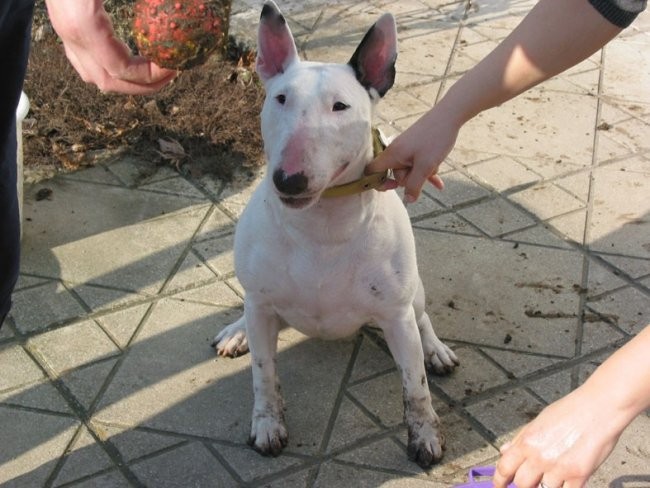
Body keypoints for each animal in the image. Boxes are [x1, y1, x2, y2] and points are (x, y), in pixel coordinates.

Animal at [211, 0, 456, 468]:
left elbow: (415, 386)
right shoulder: (262, 303)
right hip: (260, 302)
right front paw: (267, 424)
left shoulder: (395, 315)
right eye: (280, 98)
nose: (288, 180)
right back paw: (237, 331)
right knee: (251, 312)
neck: (320, 228)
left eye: (340, 107)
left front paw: (426, 435)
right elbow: (264, 375)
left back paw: (435, 349)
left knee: (422, 317)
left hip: (411, 295)